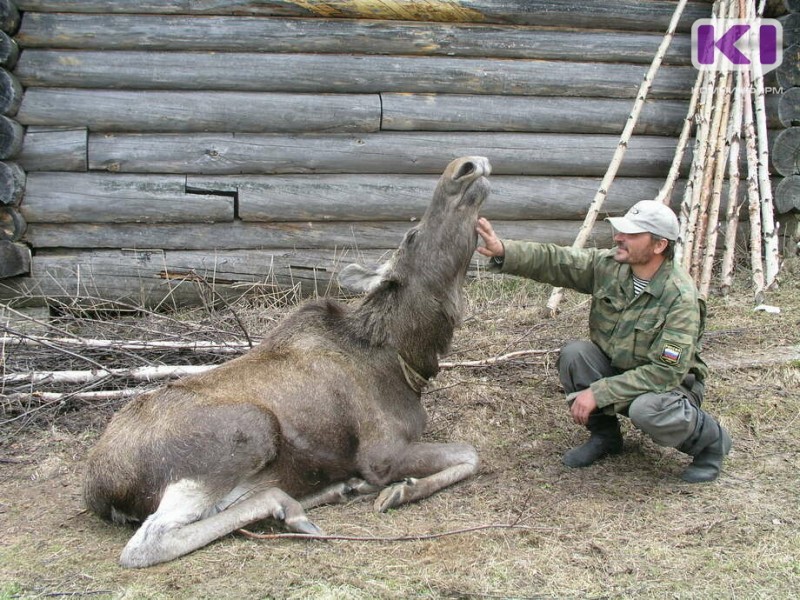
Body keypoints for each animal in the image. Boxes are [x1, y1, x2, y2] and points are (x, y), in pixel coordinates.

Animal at [84, 155, 490, 568]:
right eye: (411, 236)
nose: (465, 166)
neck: (406, 362)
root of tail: (99, 490)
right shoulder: (382, 453)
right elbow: (471, 453)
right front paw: (399, 491)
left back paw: (336, 489)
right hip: (247, 432)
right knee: (147, 542)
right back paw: (291, 506)